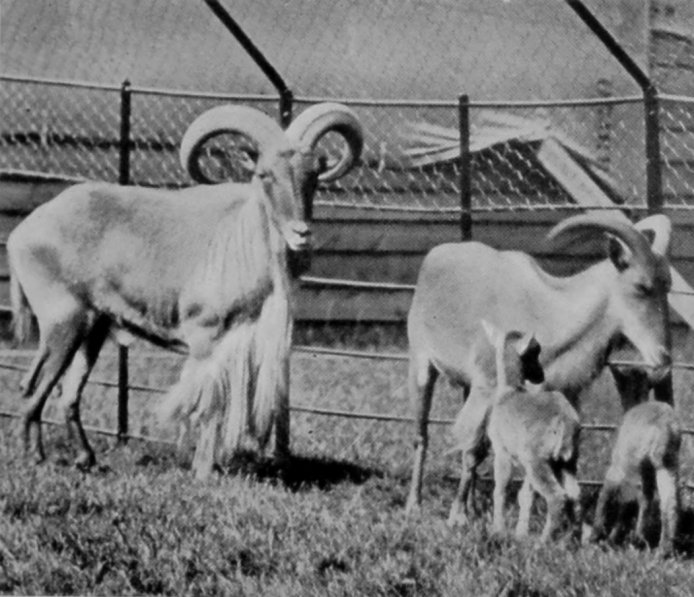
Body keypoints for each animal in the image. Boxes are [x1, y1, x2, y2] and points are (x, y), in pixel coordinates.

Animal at [7, 102, 364, 477]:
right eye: (265, 174)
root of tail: (22, 233)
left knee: (68, 393)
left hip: (93, 329)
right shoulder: (207, 336)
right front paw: (204, 471)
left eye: (313, 175)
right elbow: (209, 406)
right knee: (33, 385)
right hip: (63, 322)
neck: (242, 241)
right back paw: (35, 456)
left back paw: (85, 459)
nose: (301, 233)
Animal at [480, 320, 581, 541]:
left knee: (556, 496)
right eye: (534, 353)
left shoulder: (501, 450)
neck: (509, 391)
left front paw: (499, 530)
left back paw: (543, 541)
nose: (540, 375)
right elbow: (525, 496)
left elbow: (500, 488)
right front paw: (521, 534)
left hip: (538, 459)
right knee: (575, 494)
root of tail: (564, 420)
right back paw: (574, 539)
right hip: (566, 460)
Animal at [585, 400, 681, 554]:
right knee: (668, 502)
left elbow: (605, 503)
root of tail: (663, 425)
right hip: (667, 465)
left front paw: (599, 537)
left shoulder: (616, 474)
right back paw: (662, 549)